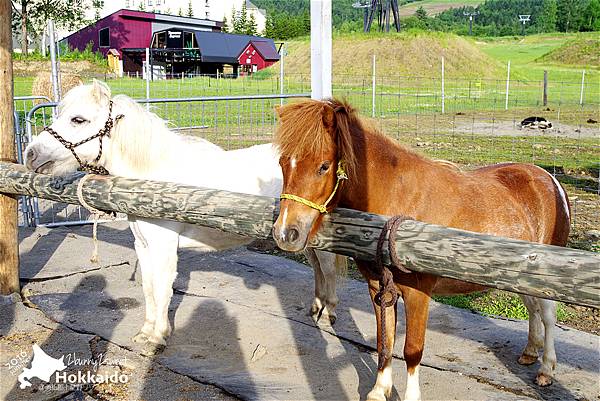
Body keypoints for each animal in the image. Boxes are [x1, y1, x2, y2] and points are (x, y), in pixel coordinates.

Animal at [25, 80, 344, 354]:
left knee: (328, 269)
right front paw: (145, 332)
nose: (30, 154)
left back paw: (328, 313)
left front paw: (157, 338)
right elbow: (148, 287)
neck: (156, 180)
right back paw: (315, 309)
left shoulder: (164, 247)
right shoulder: (143, 245)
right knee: (317, 267)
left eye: (78, 120)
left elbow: (163, 288)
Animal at [274, 98, 572, 398]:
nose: (286, 233)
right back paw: (530, 352)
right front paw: (379, 390)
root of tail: (548, 179)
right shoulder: (378, 288)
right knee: (532, 308)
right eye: (282, 162)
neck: (399, 205)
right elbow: (384, 342)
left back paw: (546, 369)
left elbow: (412, 350)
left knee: (547, 315)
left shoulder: (418, 294)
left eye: (324, 166)